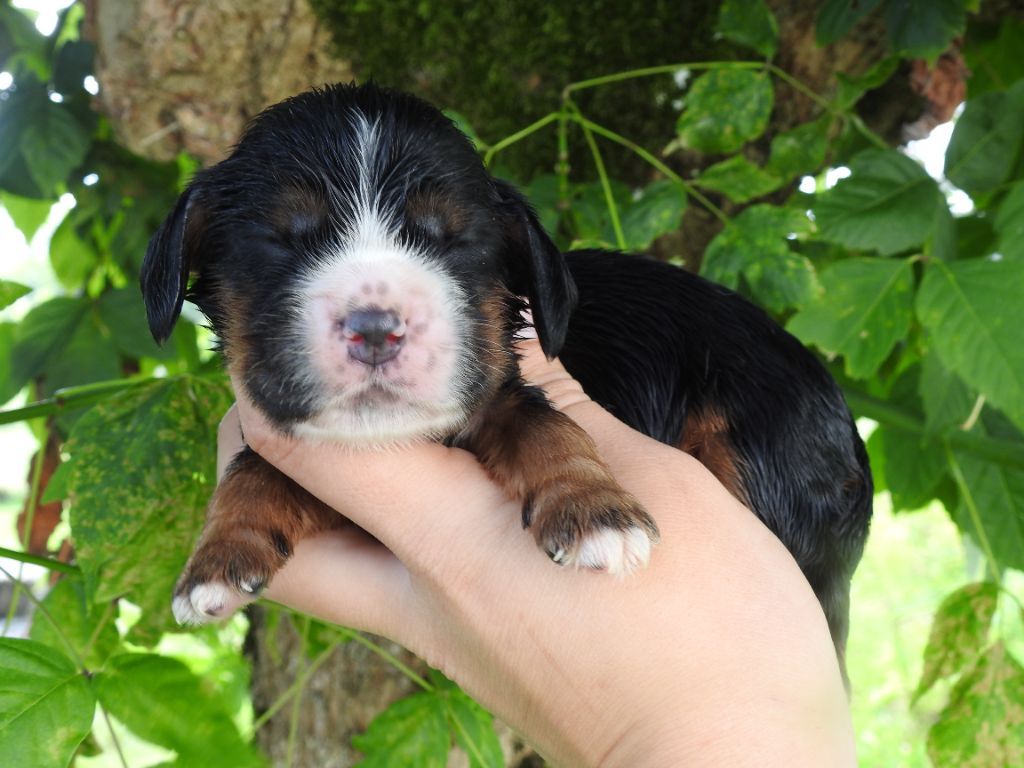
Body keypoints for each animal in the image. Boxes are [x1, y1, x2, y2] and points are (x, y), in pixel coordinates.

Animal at [142, 82, 872, 671]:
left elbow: (552, 429)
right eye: (283, 239)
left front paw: (595, 513)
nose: (376, 327)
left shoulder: (501, 391)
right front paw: (215, 560)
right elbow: (253, 471)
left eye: (453, 241)